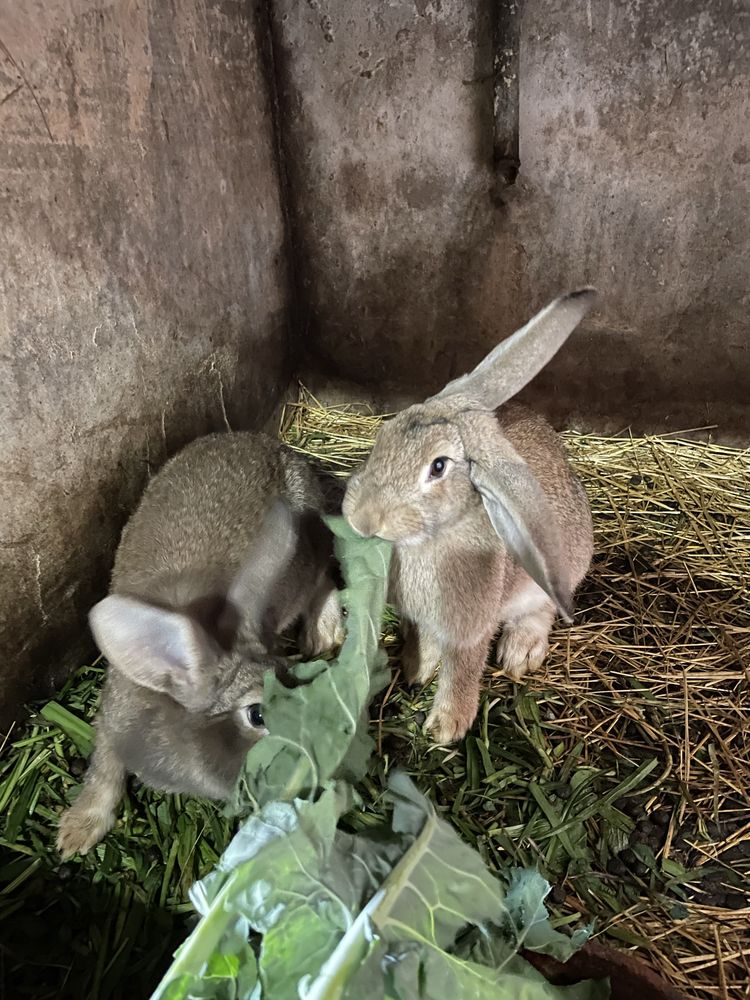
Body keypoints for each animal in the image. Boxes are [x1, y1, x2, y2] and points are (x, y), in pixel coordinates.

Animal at [57, 432, 346, 860]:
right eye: (258, 714)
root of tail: (267, 443)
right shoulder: (111, 726)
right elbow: (103, 773)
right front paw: (77, 832)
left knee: (323, 575)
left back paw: (324, 631)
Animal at [346, 290, 600, 744]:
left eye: (438, 467)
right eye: (384, 434)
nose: (363, 519)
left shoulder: (469, 629)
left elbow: (462, 670)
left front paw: (446, 728)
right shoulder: (420, 618)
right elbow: (423, 641)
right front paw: (414, 671)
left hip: (552, 576)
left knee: (542, 610)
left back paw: (520, 653)